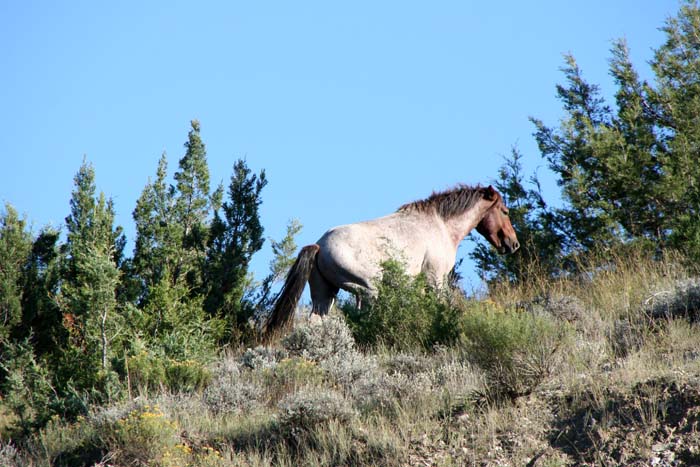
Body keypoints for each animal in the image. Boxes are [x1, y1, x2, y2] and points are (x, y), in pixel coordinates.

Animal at [264, 184, 519, 332]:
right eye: (505, 211)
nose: (513, 244)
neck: (441, 225)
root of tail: (319, 245)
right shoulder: (436, 279)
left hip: (324, 294)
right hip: (367, 289)